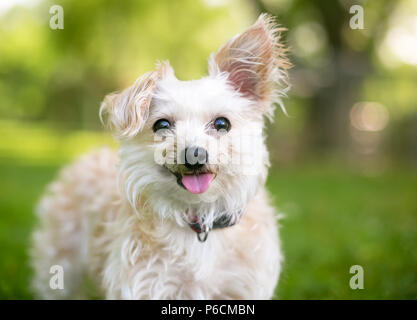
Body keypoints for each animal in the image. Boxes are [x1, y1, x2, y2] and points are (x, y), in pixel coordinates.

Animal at [30, 14, 290, 300]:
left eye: (222, 123)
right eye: (162, 125)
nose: (195, 154)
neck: (199, 222)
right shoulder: (145, 284)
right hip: (62, 264)